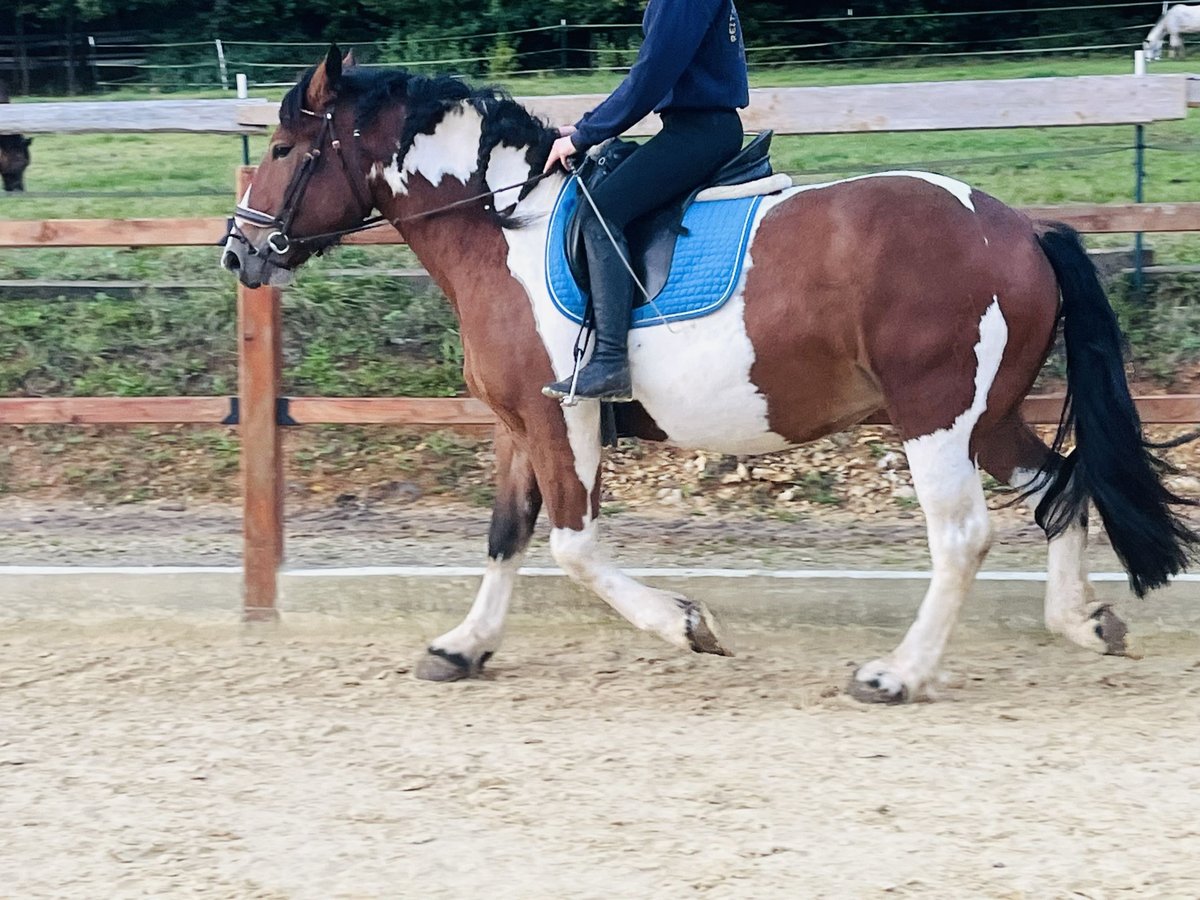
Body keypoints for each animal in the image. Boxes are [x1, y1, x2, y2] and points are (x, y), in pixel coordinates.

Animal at [220, 49, 1195, 710]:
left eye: (284, 147)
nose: (239, 251)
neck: (502, 225)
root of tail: (1021, 229)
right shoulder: (517, 423)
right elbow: (506, 535)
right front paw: (463, 648)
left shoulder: (563, 416)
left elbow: (574, 546)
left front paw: (687, 625)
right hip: (985, 417)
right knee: (1060, 486)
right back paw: (1083, 622)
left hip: (935, 416)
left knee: (962, 537)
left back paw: (896, 673)